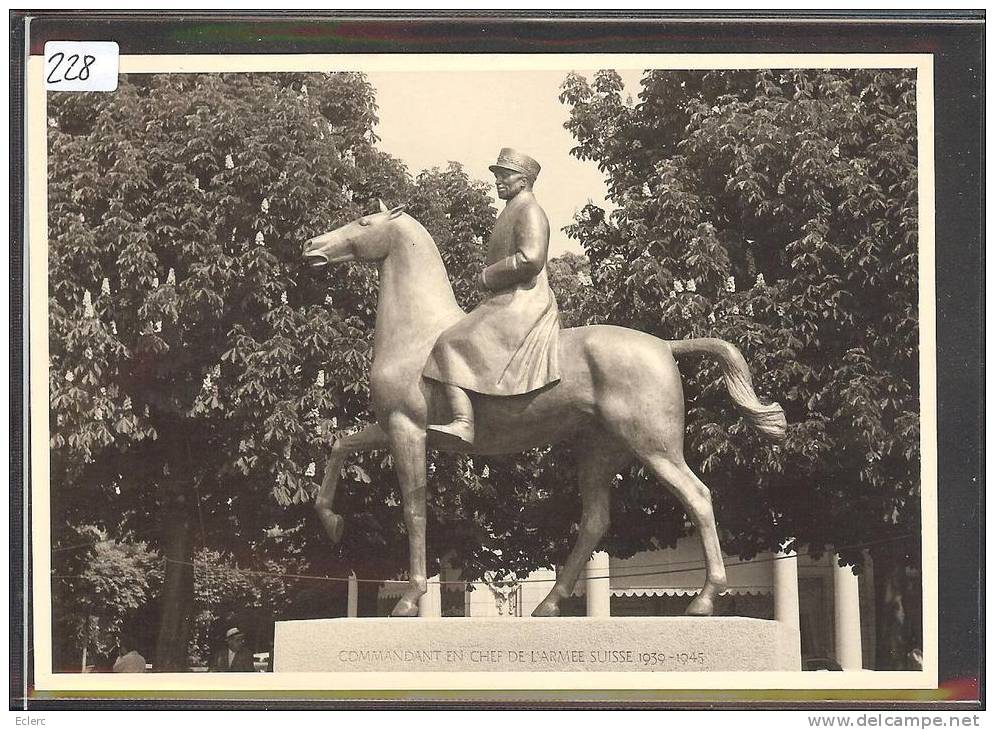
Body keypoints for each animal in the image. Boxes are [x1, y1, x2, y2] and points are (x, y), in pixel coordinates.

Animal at [304, 199, 784, 616]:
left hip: (653, 446)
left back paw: (703, 599)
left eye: (364, 222)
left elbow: (413, 510)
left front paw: (408, 598)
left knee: (698, 497)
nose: (312, 246)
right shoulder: (388, 426)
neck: (416, 333)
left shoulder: (408, 429)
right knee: (595, 521)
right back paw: (549, 604)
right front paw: (331, 522)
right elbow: (340, 447)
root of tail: (665, 344)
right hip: (600, 450)